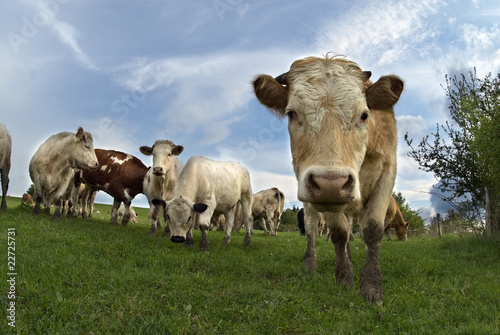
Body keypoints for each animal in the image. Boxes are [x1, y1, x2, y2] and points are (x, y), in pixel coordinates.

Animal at [254, 55, 402, 308]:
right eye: (291, 113)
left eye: (364, 115)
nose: (331, 182)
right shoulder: (325, 197)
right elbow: (339, 233)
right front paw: (344, 278)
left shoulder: (387, 171)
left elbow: (372, 231)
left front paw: (371, 288)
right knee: (313, 228)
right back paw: (310, 263)